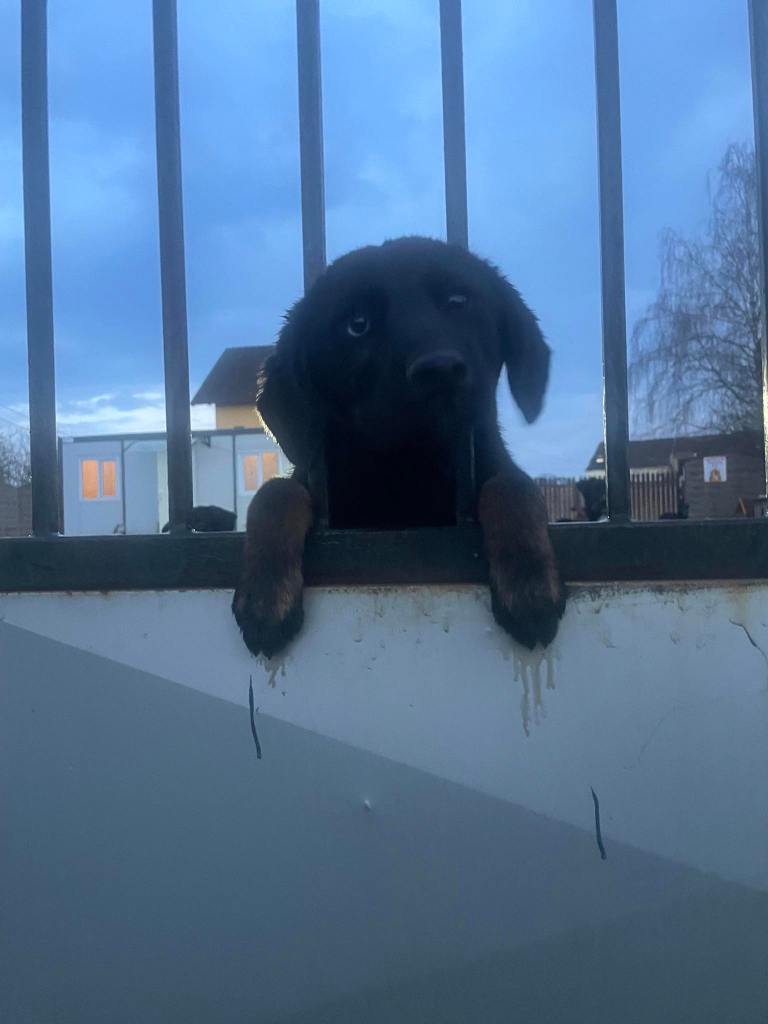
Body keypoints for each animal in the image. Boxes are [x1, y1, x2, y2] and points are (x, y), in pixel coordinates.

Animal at [233, 236, 565, 657]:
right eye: (357, 325)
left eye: (458, 300)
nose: (440, 370)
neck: (406, 466)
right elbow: (275, 492)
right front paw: (265, 593)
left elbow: (512, 484)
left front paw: (529, 581)